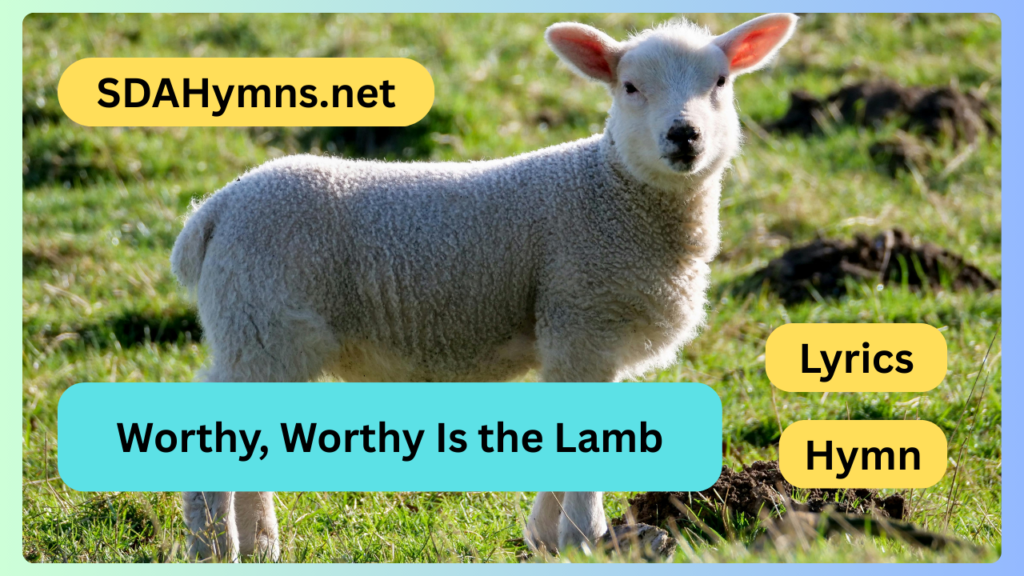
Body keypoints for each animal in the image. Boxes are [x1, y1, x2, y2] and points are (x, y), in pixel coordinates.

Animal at [171, 13, 798, 562]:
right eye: (630, 87)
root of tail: (215, 210)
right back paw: (215, 547)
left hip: (257, 328)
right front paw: (587, 538)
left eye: (720, 82)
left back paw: (259, 545)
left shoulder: (576, 339)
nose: (684, 135)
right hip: (263, 323)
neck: (614, 194)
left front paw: (547, 537)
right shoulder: (582, 318)